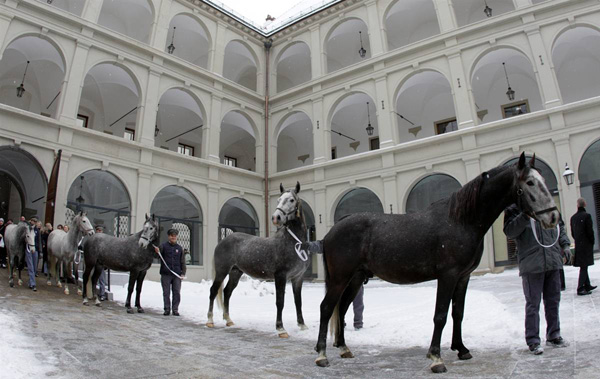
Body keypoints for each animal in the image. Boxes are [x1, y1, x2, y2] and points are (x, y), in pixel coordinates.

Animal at [206, 183, 310, 340]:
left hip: (235, 273)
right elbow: (280, 302)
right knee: (213, 291)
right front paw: (281, 329)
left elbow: (298, 301)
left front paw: (302, 325)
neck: (293, 242)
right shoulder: (280, 276)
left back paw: (229, 320)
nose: (276, 217)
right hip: (222, 271)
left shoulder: (298, 278)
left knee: (227, 292)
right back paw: (210, 320)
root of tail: (223, 241)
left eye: (291, 200)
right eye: (279, 199)